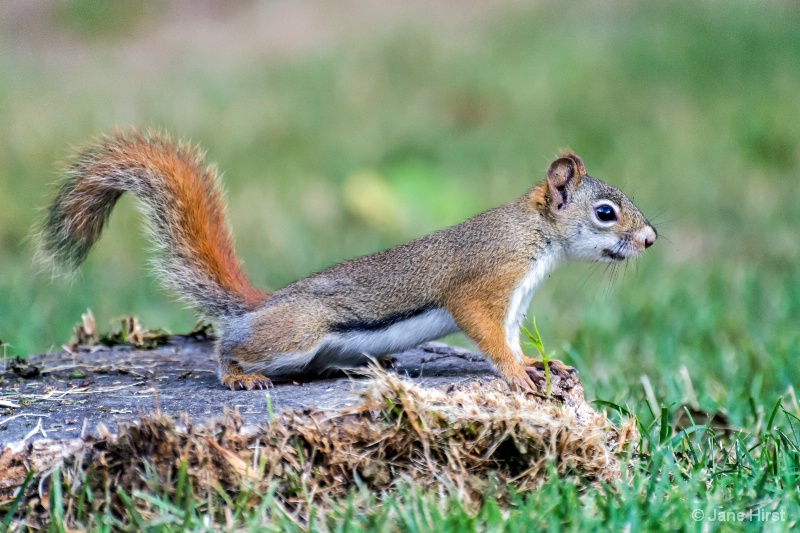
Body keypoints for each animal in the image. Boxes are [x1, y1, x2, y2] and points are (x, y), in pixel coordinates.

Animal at [36, 129, 656, 390]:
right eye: (606, 213)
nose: (650, 239)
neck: (536, 236)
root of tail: (261, 306)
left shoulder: (515, 302)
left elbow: (510, 336)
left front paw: (540, 364)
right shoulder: (484, 282)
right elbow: (486, 333)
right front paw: (517, 374)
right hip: (295, 332)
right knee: (229, 346)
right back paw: (237, 375)